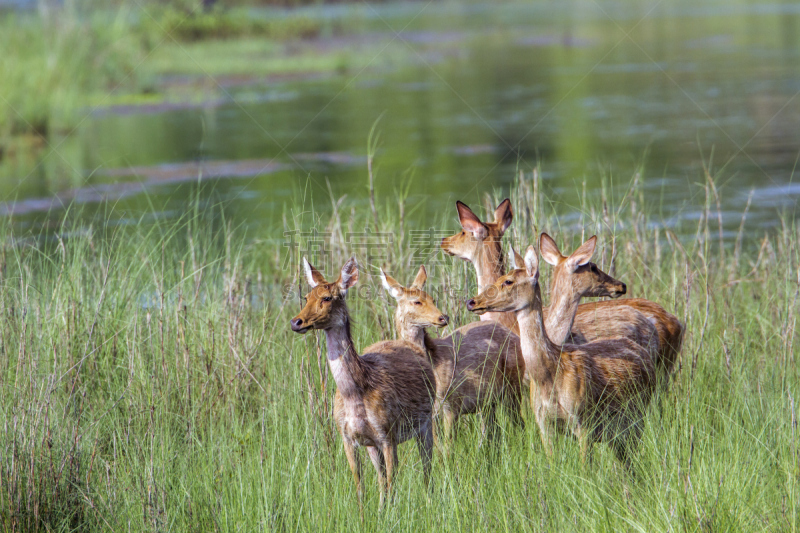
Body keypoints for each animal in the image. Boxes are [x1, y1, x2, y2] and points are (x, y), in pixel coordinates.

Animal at [290, 258, 434, 508]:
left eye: (327, 298)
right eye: (306, 297)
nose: (296, 322)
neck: (356, 391)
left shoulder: (388, 433)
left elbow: (392, 481)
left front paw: (392, 513)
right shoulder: (348, 437)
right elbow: (360, 485)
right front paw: (366, 513)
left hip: (427, 422)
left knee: (427, 468)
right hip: (373, 445)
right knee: (381, 478)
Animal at [380, 264, 524, 442]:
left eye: (433, 299)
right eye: (417, 301)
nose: (443, 318)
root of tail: (514, 336)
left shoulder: (452, 403)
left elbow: (449, 445)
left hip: (513, 385)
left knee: (518, 423)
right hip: (488, 401)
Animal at [466, 243, 660, 468]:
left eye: (508, 281)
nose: (472, 302)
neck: (549, 375)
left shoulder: (584, 421)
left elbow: (585, 467)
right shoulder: (543, 424)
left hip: (638, 415)